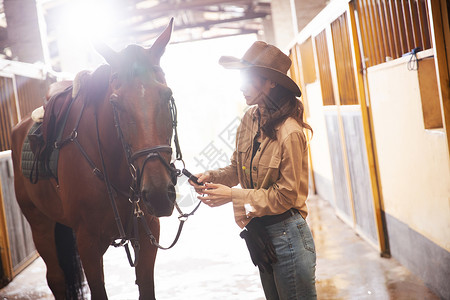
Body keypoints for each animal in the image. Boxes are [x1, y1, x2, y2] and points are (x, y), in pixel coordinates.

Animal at [10, 19, 178, 300]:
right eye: (116, 103)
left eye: (167, 95)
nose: (157, 193)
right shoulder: (87, 243)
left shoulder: (148, 234)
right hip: (40, 224)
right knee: (55, 278)